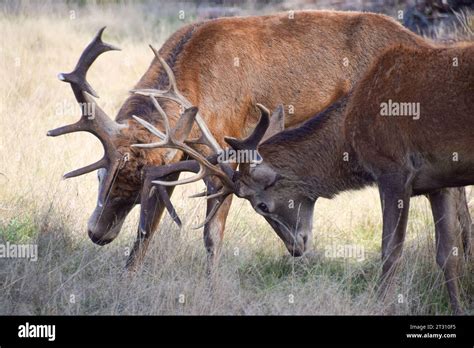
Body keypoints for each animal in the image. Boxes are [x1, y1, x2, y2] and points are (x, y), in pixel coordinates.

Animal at [47, 10, 470, 272]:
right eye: (101, 175)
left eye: (133, 189)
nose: (97, 233)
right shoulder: (178, 161)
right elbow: (146, 230)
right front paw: (129, 276)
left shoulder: (220, 154)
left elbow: (211, 234)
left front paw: (211, 287)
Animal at [136, 42, 470, 312]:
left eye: (261, 205)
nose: (296, 249)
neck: (351, 137)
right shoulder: (439, 183)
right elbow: (448, 256)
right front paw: (459, 308)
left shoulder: (394, 170)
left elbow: (390, 253)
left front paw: (380, 306)